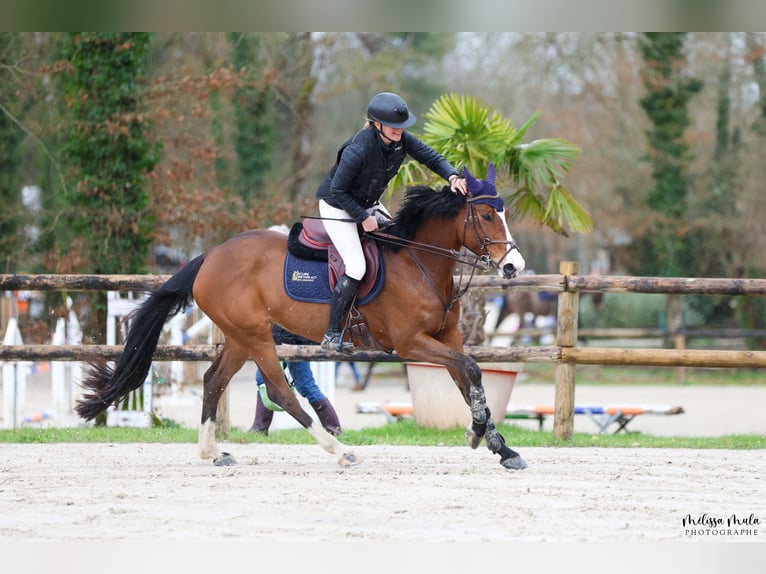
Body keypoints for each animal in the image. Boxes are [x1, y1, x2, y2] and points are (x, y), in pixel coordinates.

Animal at [79, 164, 536, 470]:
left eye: (504, 213)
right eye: (486, 216)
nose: (514, 266)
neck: (418, 261)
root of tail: (211, 255)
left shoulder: (447, 338)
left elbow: (469, 377)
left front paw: (499, 445)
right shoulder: (412, 344)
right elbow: (471, 371)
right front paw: (480, 435)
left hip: (240, 337)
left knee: (213, 381)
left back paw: (212, 452)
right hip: (258, 336)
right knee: (281, 393)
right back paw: (340, 451)